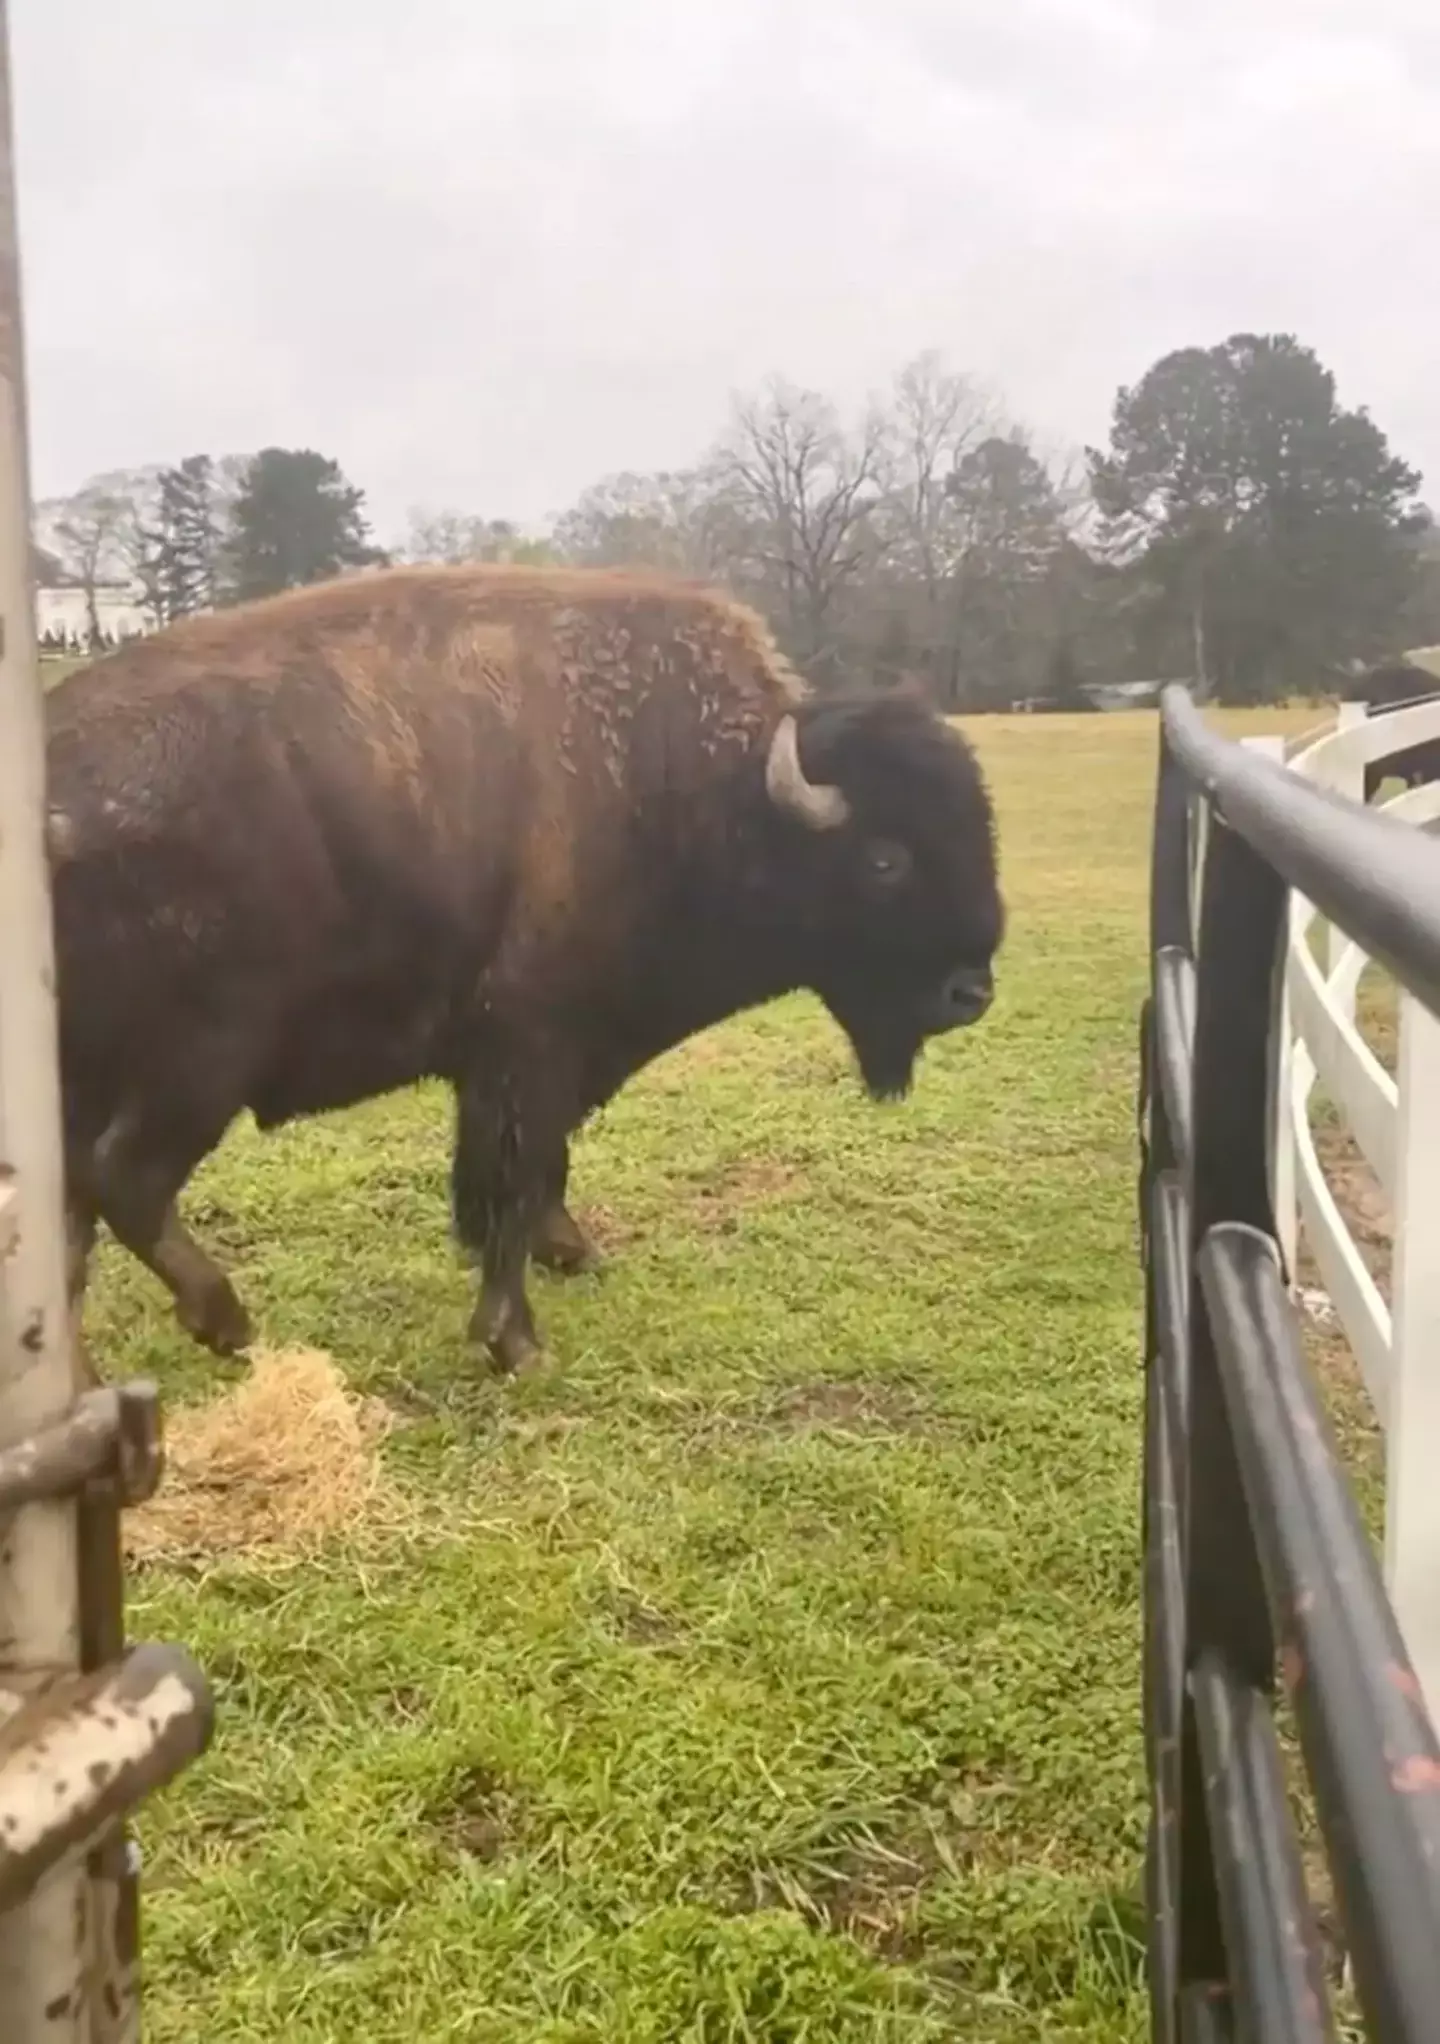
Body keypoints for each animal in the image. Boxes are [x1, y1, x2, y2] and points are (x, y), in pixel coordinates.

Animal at [50, 564, 1004, 1373]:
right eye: (885, 859)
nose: (972, 992)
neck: (697, 790)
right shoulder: (531, 1047)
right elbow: (512, 1179)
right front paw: (516, 1342)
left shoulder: (539, 1059)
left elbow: (538, 1168)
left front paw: (569, 1252)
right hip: (201, 1063)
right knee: (125, 1183)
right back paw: (228, 1324)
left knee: (68, 1229)